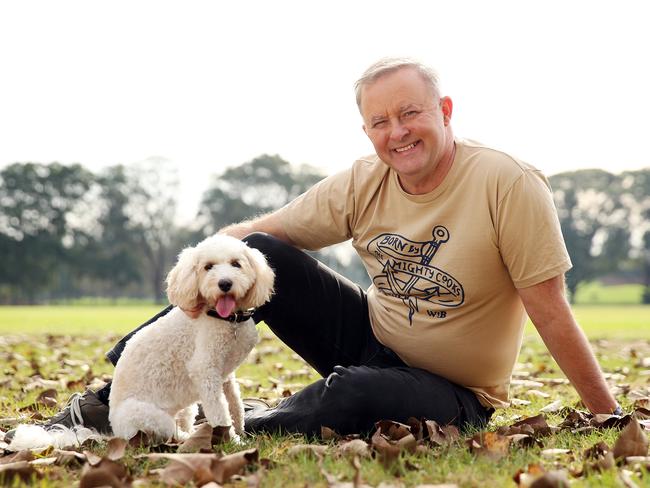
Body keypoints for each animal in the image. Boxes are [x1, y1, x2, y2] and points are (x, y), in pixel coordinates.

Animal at [108, 234, 274, 444]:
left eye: (236, 264)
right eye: (208, 266)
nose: (225, 284)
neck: (228, 320)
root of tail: (116, 430)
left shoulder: (226, 375)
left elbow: (235, 404)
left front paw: (240, 431)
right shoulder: (205, 371)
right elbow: (220, 412)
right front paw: (232, 441)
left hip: (185, 406)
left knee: (184, 419)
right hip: (150, 417)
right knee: (171, 433)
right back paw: (189, 437)